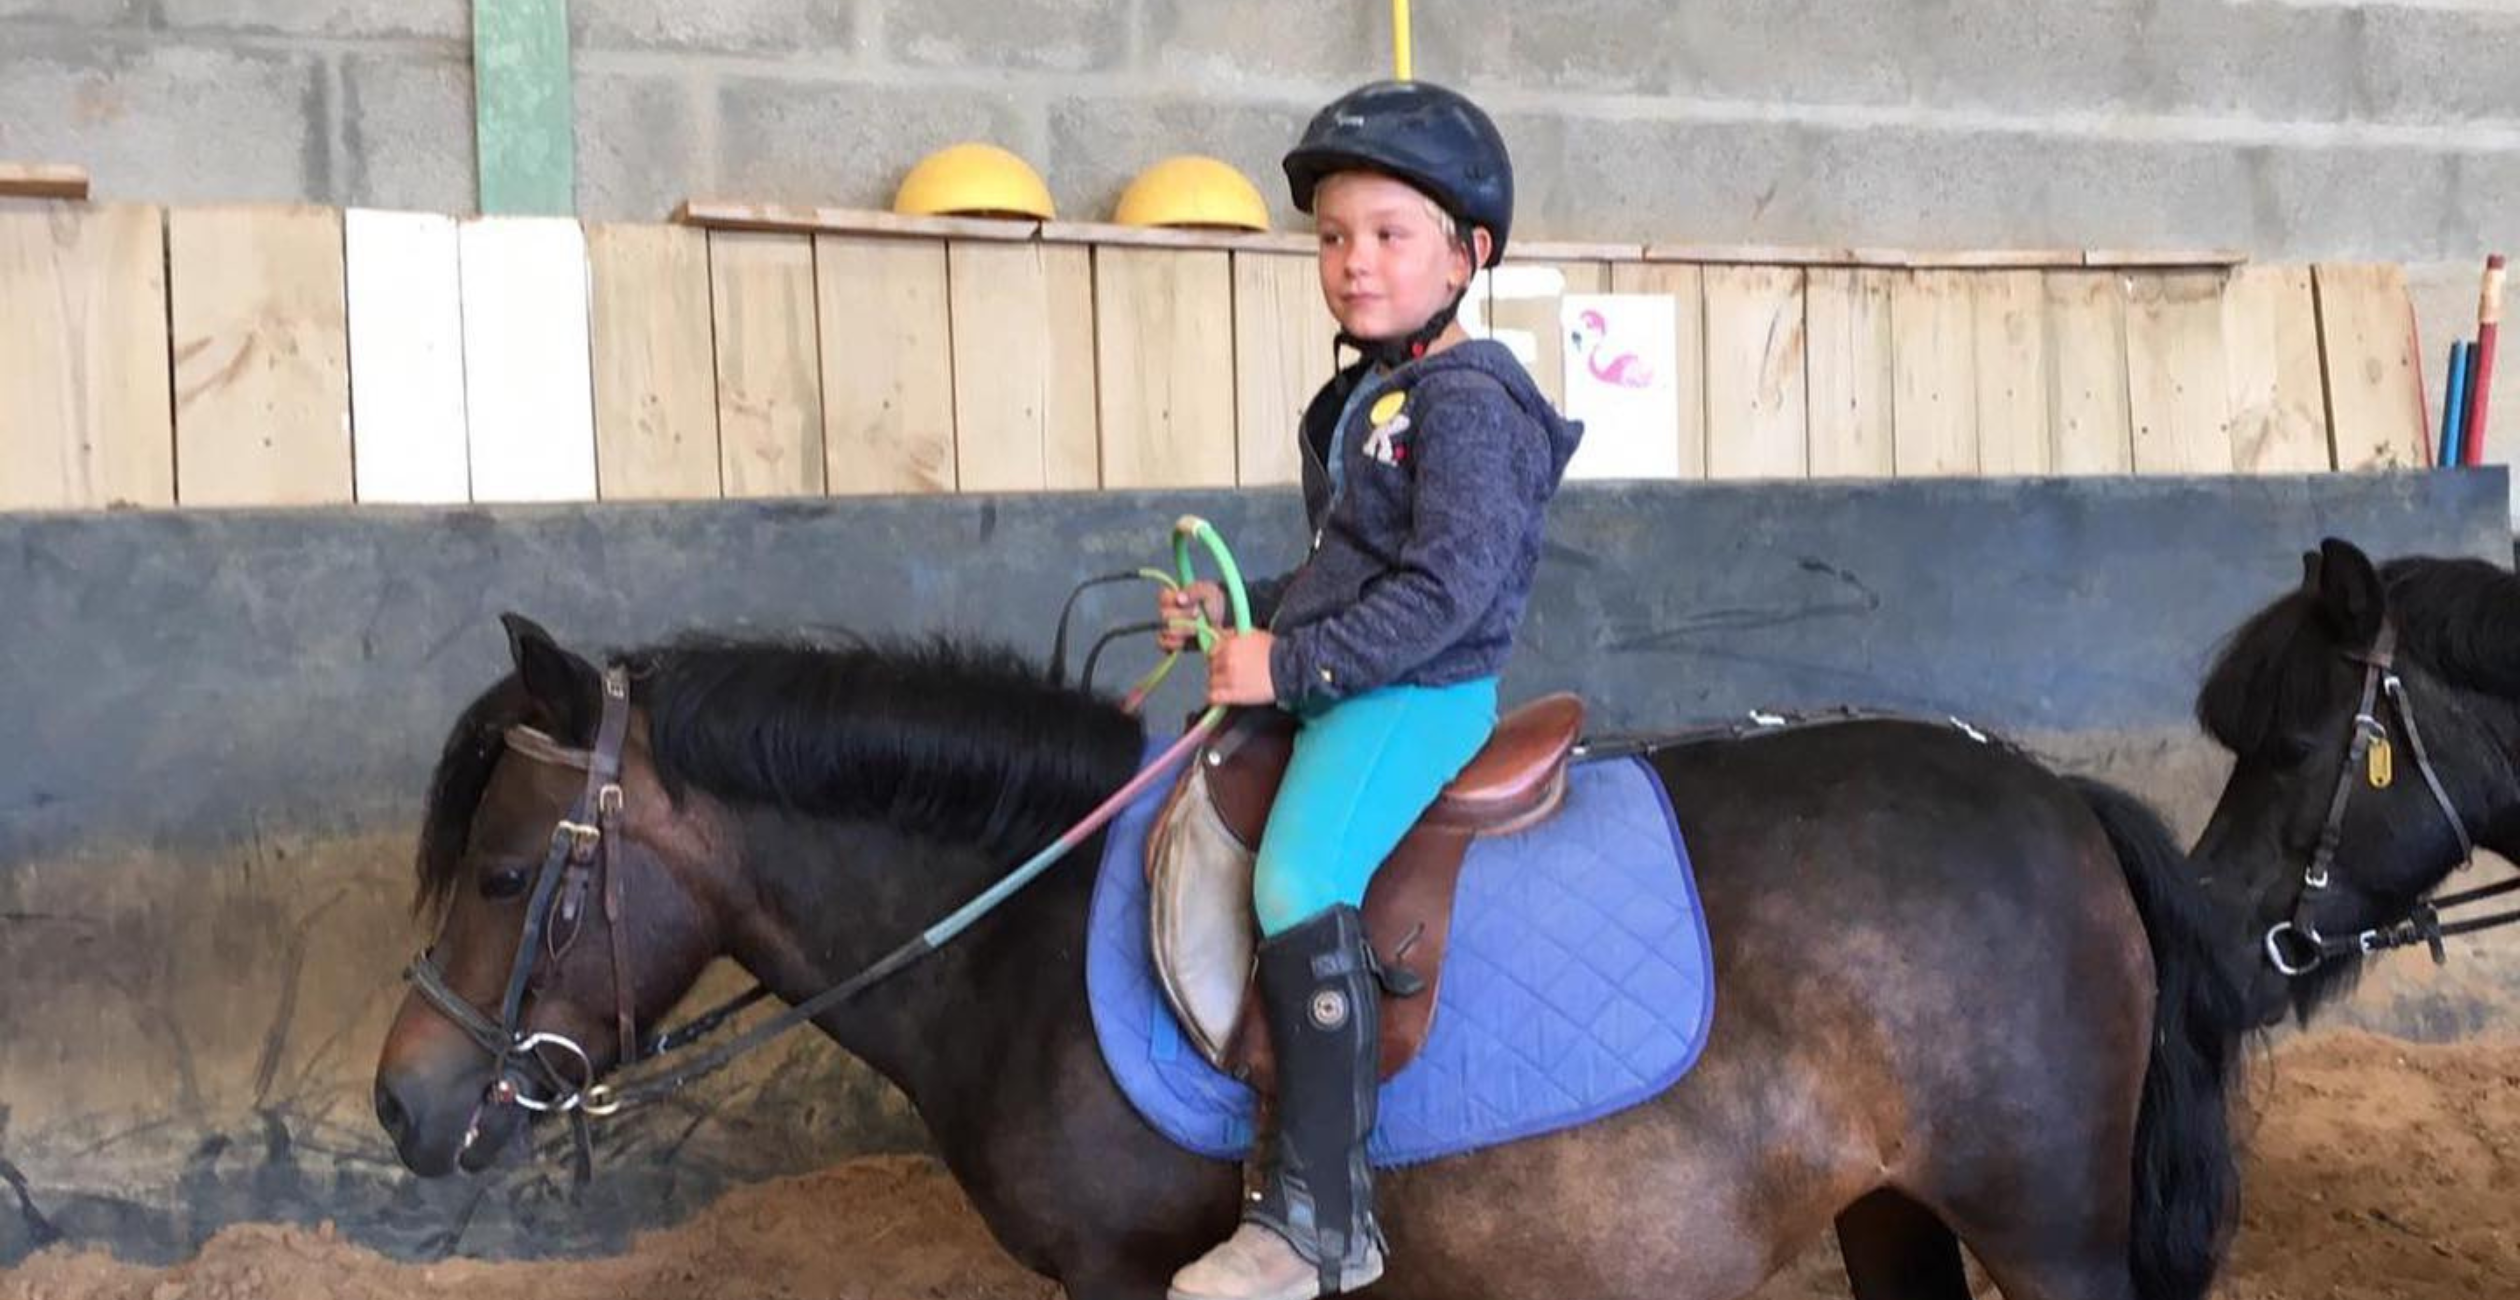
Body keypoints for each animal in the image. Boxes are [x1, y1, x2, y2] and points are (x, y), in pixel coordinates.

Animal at [372, 614, 2247, 1289]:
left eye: (507, 869)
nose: (402, 1106)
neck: (1019, 931)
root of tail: (2054, 795)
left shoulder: (1128, 1277)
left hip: (2047, 1231)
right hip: (1891, 1210)